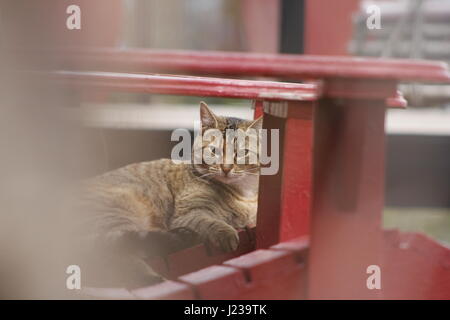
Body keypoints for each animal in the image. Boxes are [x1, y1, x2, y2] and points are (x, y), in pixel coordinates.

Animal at [76, 102, 262, 288]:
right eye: (214, 151)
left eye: (242, 153)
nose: (226, 168)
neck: (243, 194)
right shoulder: (188, 214)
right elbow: (211, 222)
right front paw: (226, 233)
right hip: (117, 212)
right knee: (118, 256)